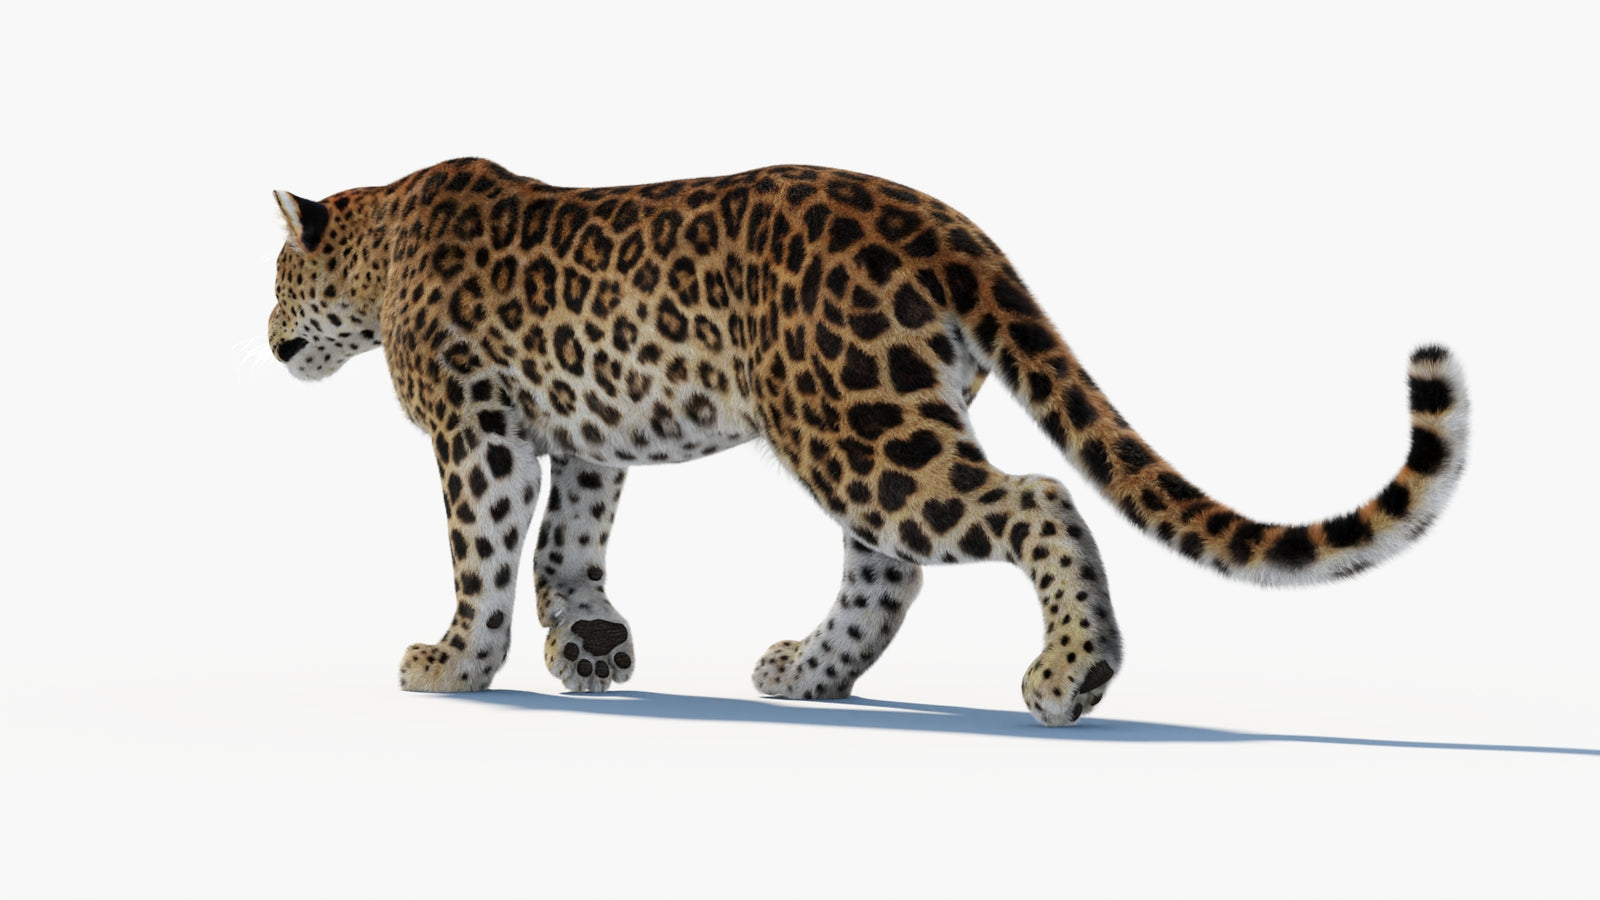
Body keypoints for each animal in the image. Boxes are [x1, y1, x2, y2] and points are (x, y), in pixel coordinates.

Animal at [268, 157, 1468, 726]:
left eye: (276, 275)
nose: (266, 336)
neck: (381, 246)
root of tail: (949, 226)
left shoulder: (476, 428)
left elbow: (481, 551)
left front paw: (454, 664)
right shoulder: (586, 434)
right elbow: (570, 544)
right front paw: (593, 647)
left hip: (851, 422)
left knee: (1030, 499)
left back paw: (1069, 674)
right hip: (874, 412)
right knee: (887, 572)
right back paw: (806, 672)